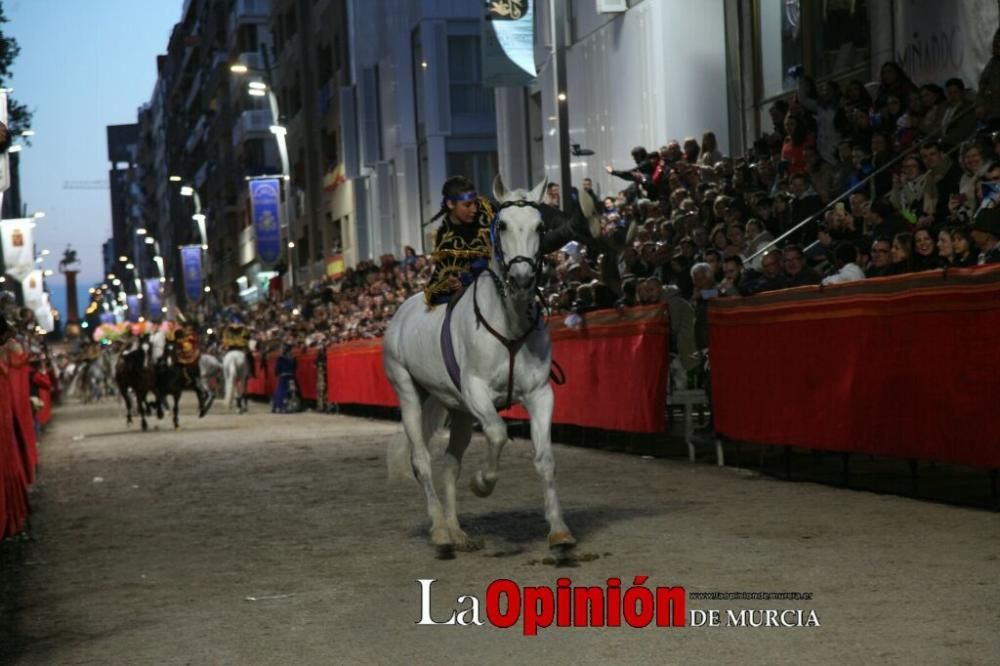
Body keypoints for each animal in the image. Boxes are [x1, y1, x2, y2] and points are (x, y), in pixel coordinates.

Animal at [382, 172, 576, 556]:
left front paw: (560, 532)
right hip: (408, 391)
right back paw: (441, 532)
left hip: (456, 411)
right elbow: (498, 433)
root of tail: (401, 312)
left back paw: (458, 532)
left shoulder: (539, 393)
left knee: (449, 466)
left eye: (540, 225)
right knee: (421, 461)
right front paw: (483, 483)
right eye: (501, 225)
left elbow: (545, 458)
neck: (508, 323)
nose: (521, 279)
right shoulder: (476, 391)